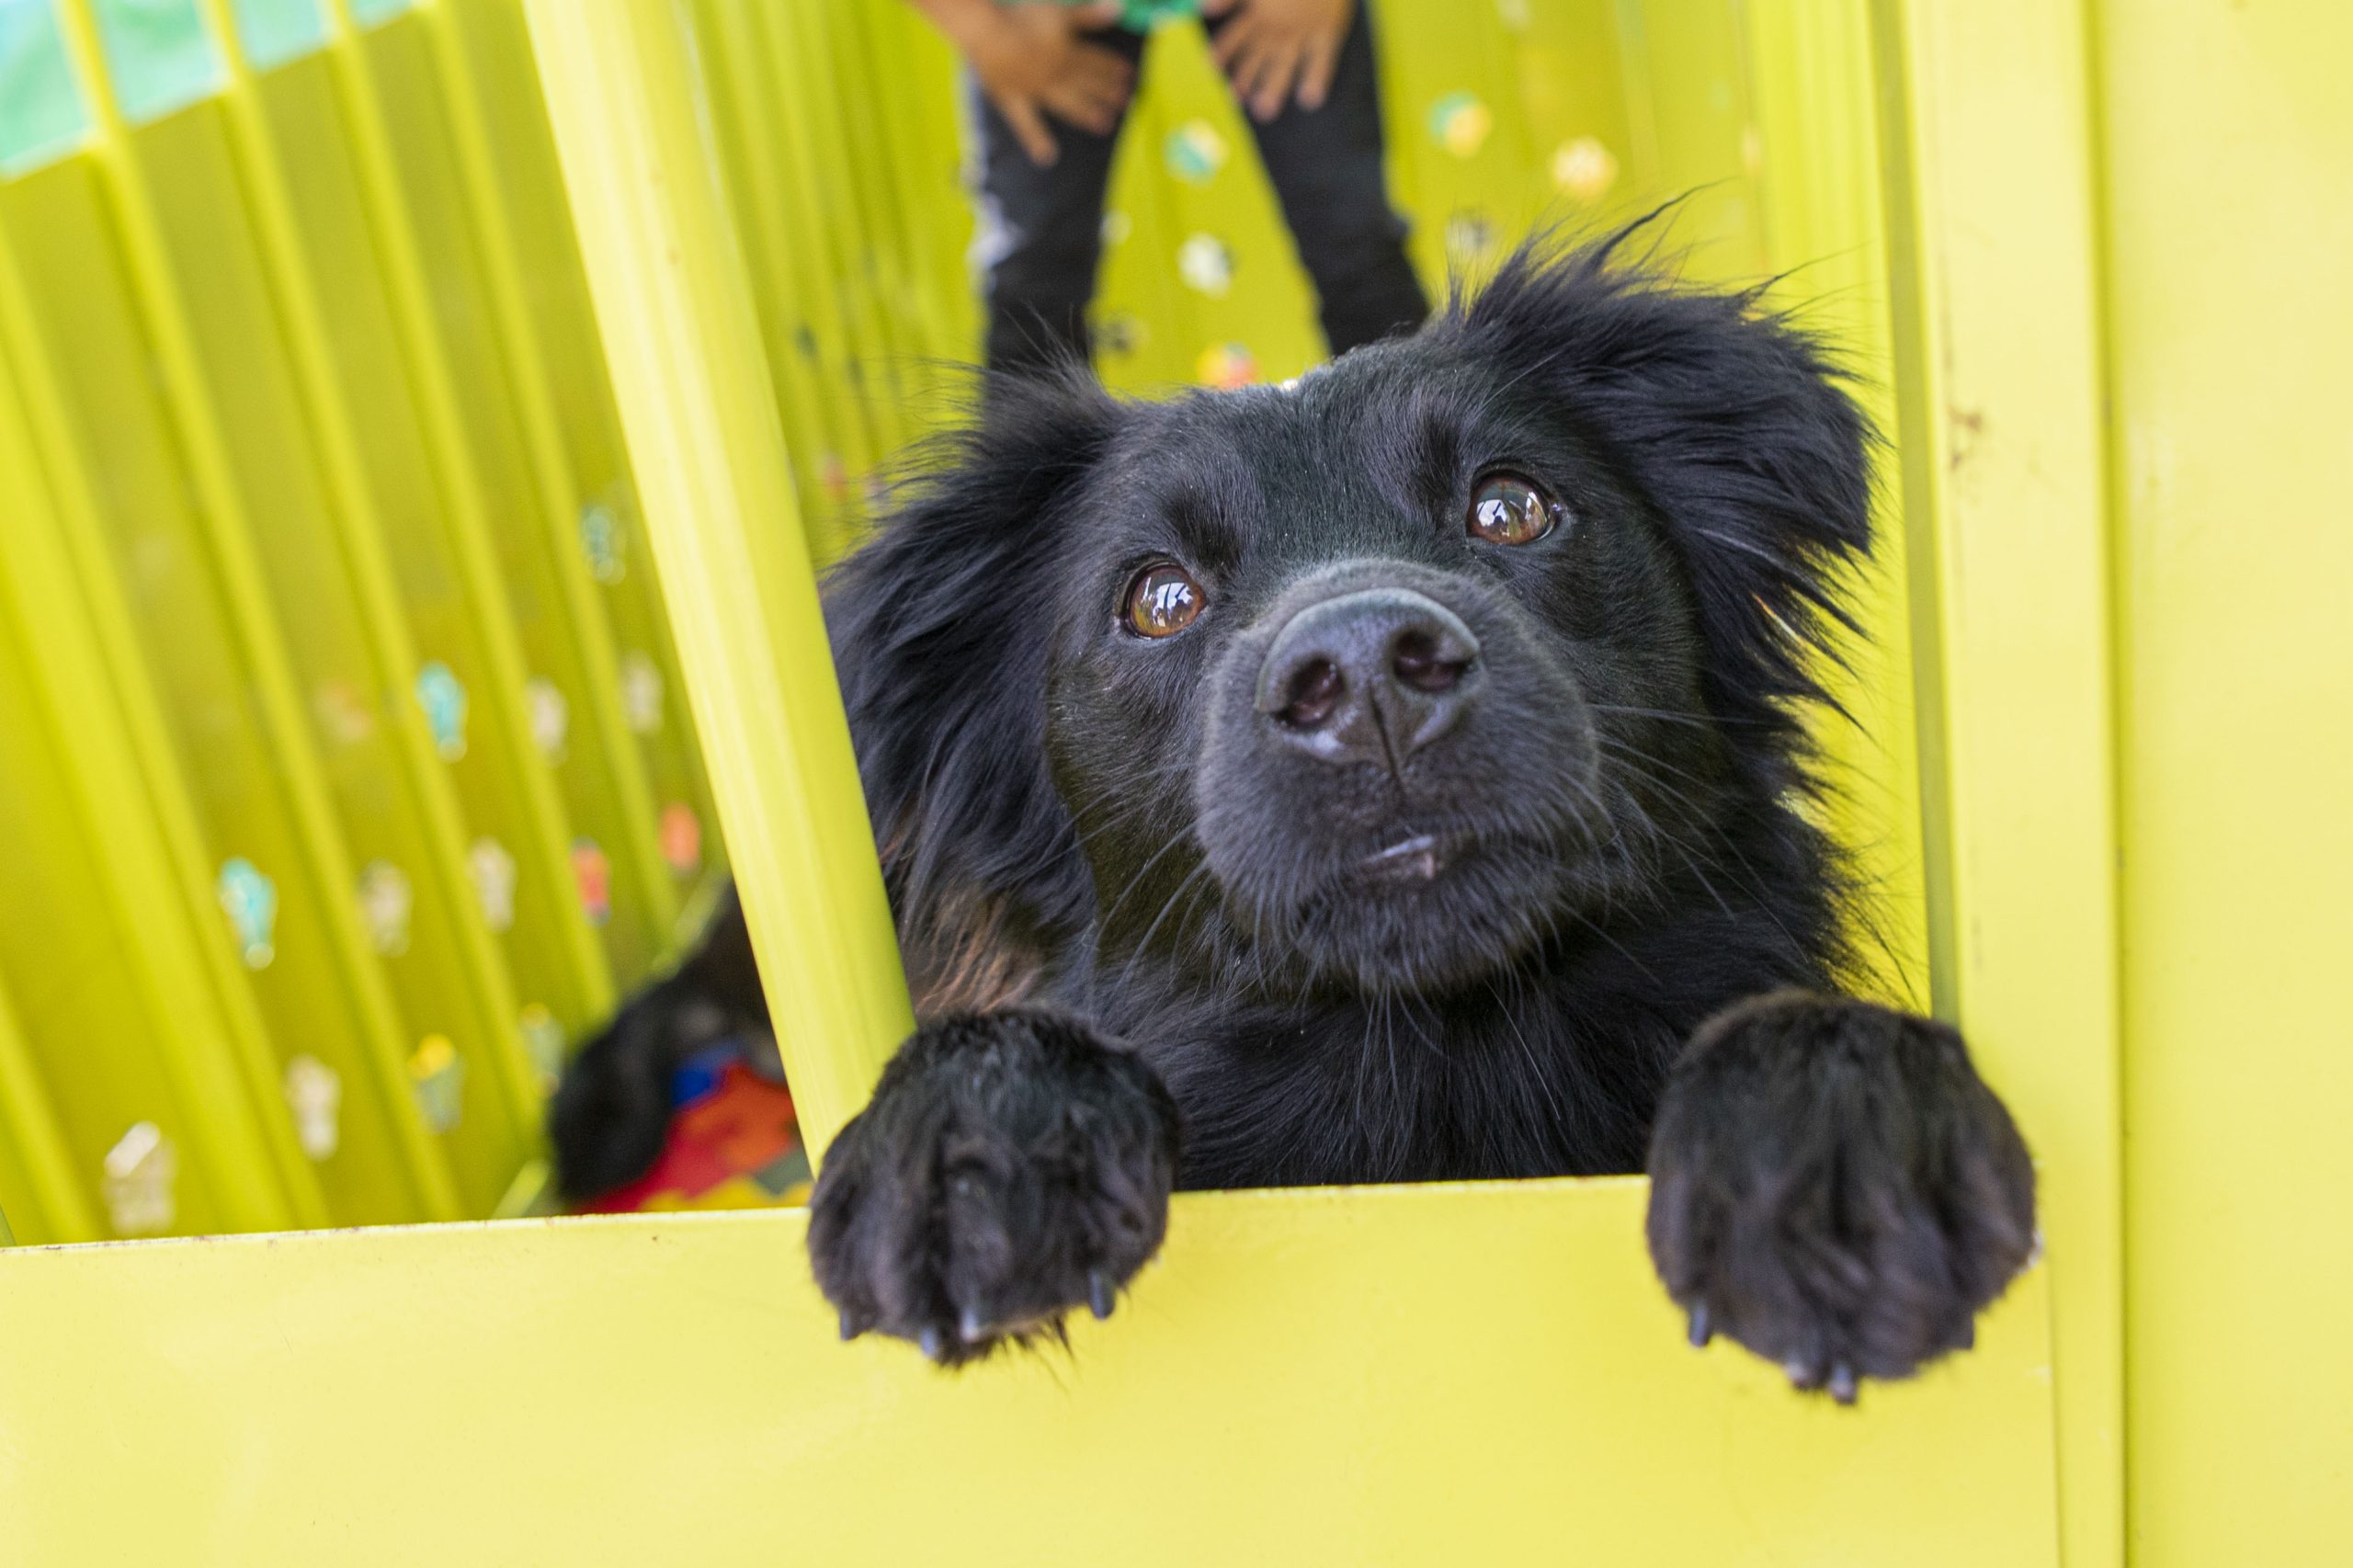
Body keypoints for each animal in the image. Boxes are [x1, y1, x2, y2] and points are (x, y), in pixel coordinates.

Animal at [555, 229, 2042, 1393]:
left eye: (1510, 506)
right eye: (1158, 595)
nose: (1368, 673)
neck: (1447, 1062)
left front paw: (1833, 1136)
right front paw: (974, 1139)